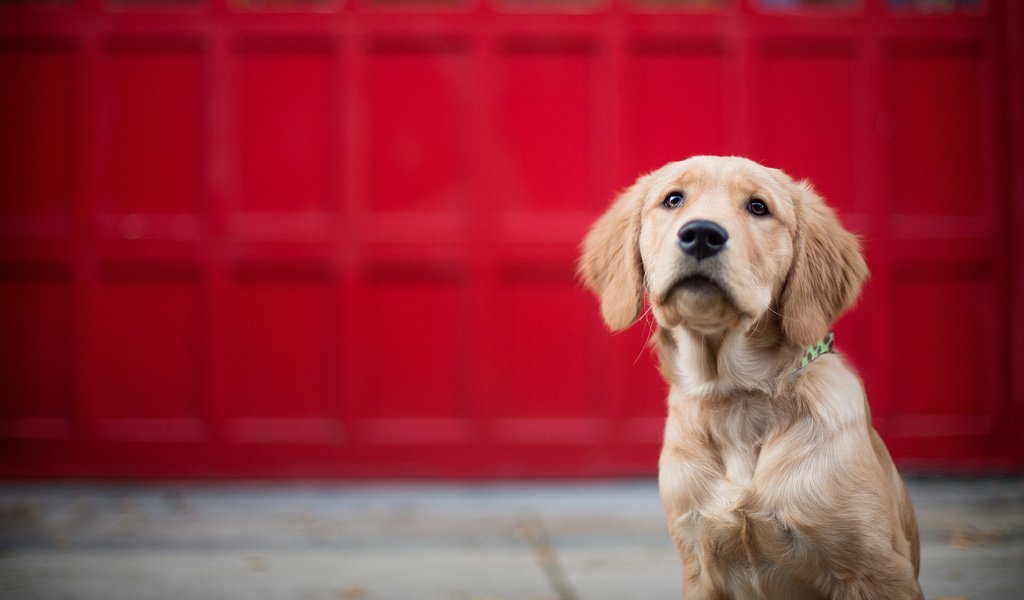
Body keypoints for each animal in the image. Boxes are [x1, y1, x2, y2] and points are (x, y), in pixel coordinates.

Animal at [581, 156, 925, 593]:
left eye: (758, 207)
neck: (735, 399)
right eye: (673, 199)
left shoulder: (878, 570)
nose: (701, 235)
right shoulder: (699, 564)